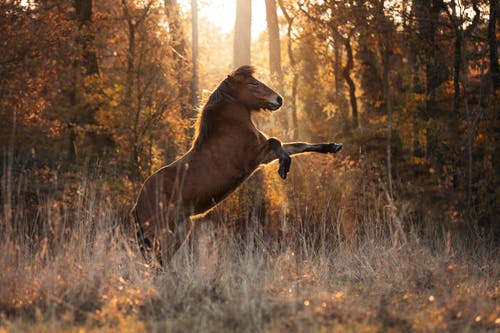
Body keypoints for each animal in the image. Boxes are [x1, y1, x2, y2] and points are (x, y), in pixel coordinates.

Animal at [131, 65, 342, 266]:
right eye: (252, 84)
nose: (279, 99)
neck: (230, 128)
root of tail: (137, 205)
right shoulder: (254, 157)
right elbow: (277, 142)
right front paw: (284, 168)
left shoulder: (264, 156)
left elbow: (299, 145)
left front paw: (333, 147)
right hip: (164, 235)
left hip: (180, 231)